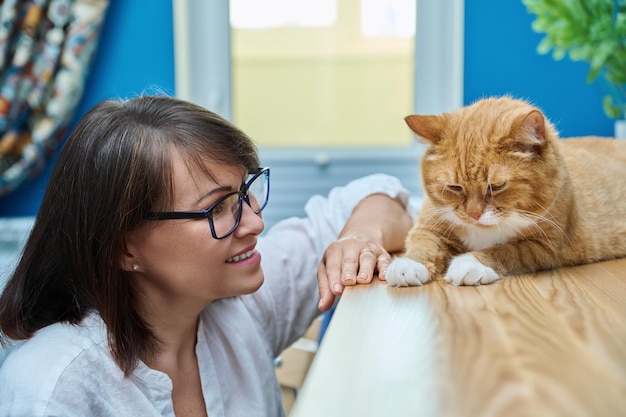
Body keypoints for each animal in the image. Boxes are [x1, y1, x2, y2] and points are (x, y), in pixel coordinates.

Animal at [386, 96, 624, 286]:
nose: (473, 214)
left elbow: (505, 251)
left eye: (496, 186)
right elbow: (424, 245)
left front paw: (470, 264)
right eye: (455, 187)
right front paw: (407, 266)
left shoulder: (544, 244)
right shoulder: (429, 226)